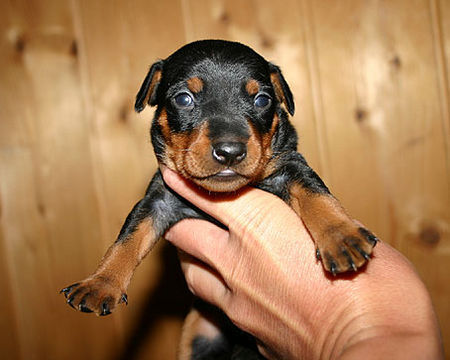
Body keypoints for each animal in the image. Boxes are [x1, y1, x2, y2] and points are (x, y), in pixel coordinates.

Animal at [59, 40, 376, 360]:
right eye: (183, 99)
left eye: (262, 100)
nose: (230, 152)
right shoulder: (158, 198)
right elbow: (127, 239)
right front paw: (100, 284)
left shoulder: (291, 167)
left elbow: (318, 196)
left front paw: (342, 238)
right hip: (197, 333)